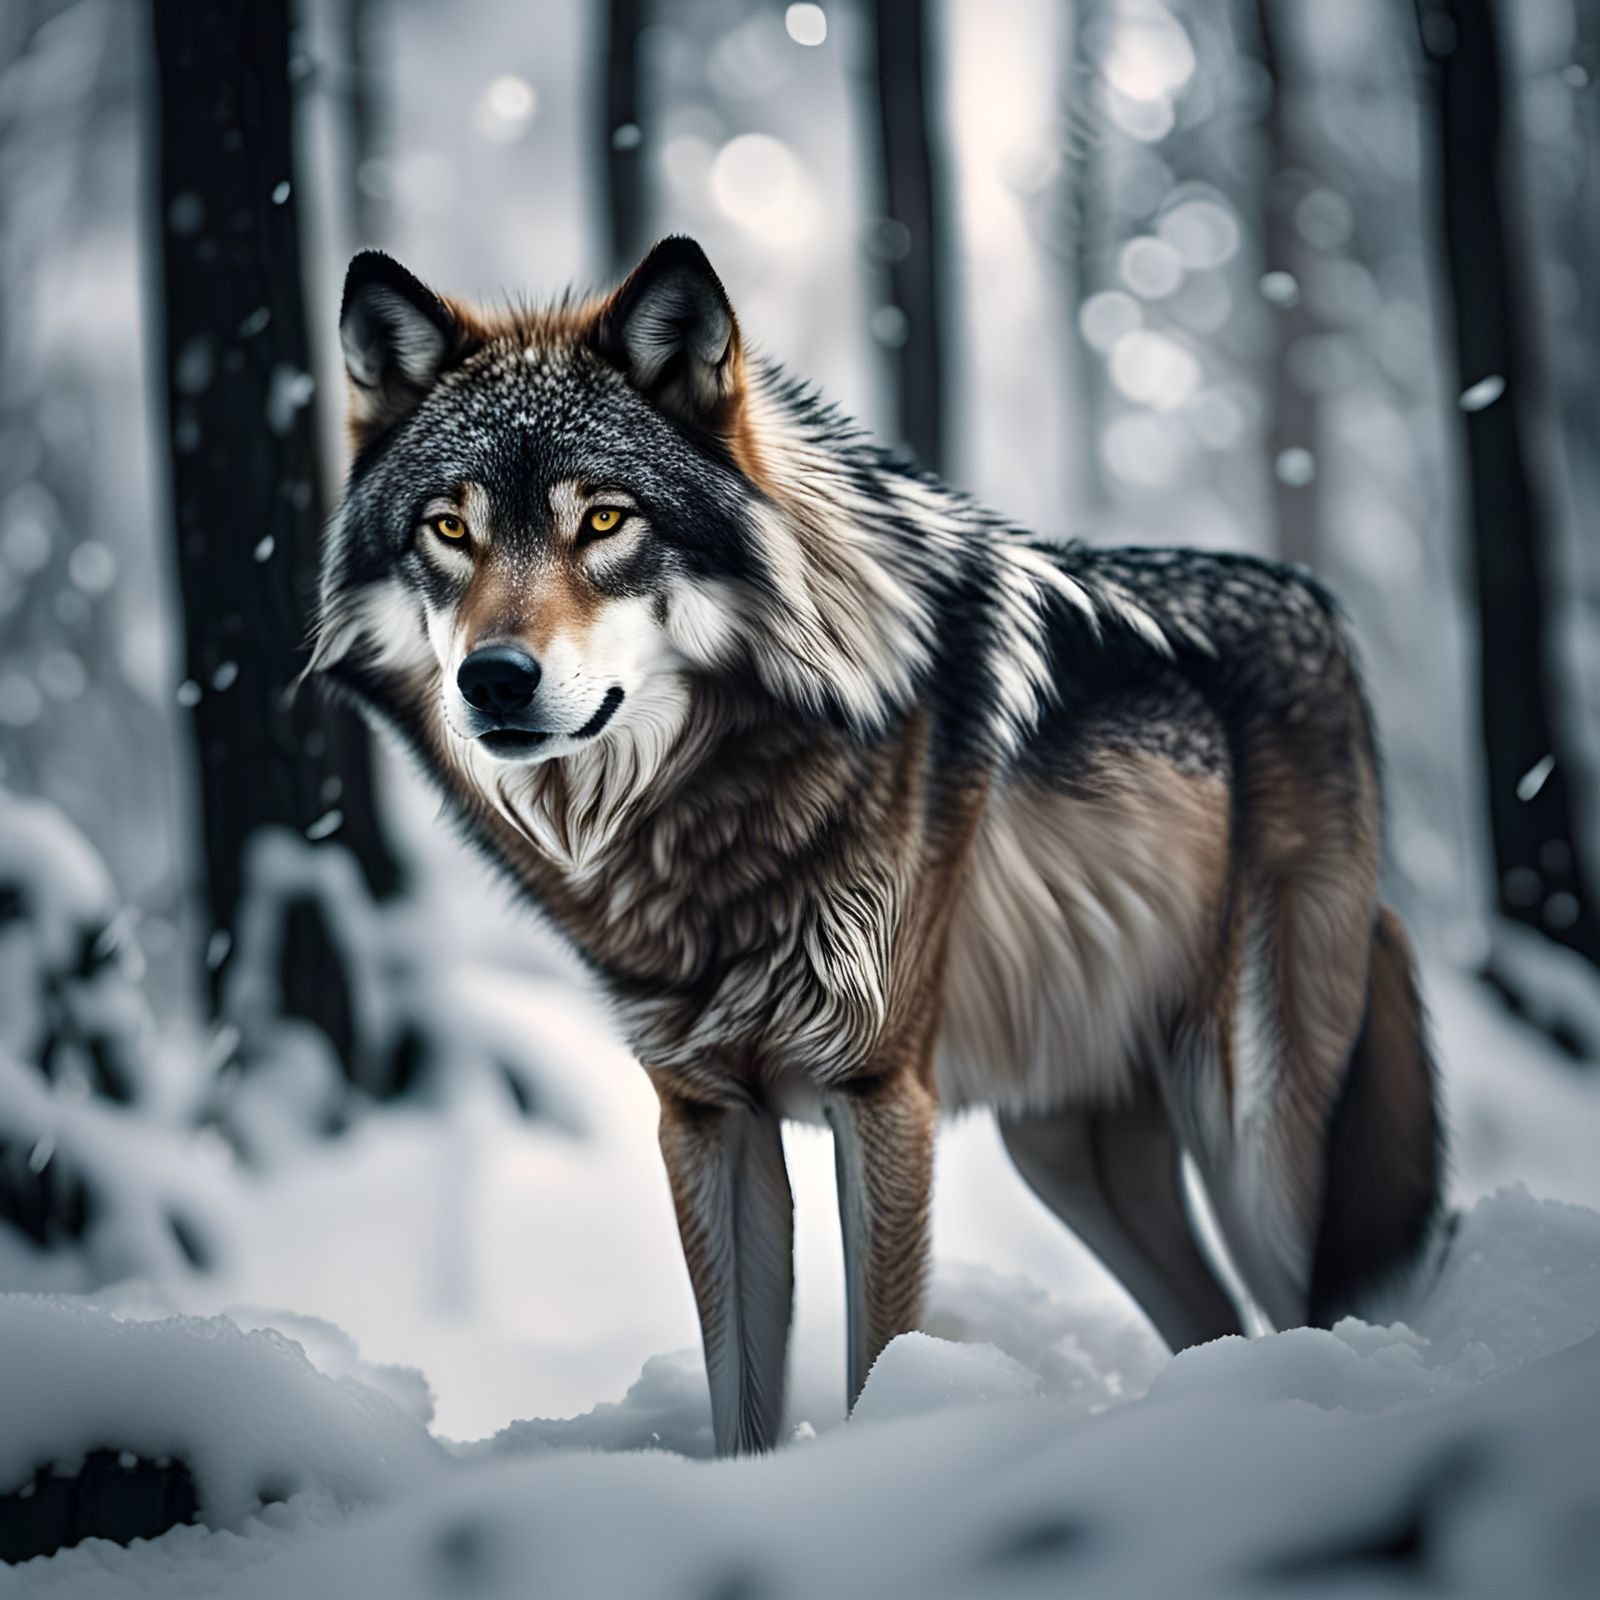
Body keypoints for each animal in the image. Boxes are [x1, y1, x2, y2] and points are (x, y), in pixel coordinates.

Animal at [314, 237, 1445, 1454]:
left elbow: (875, 1354)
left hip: (1250, 1135)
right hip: (1068, 1147)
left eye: (607, 522)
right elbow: (740, 1398)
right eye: (449, 528)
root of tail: (1319, 605)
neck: (704, 818)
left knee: (1308, 1306)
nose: (492, 679)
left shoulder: (880, 1092)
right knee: (1213, 1317)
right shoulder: (705, 1118)